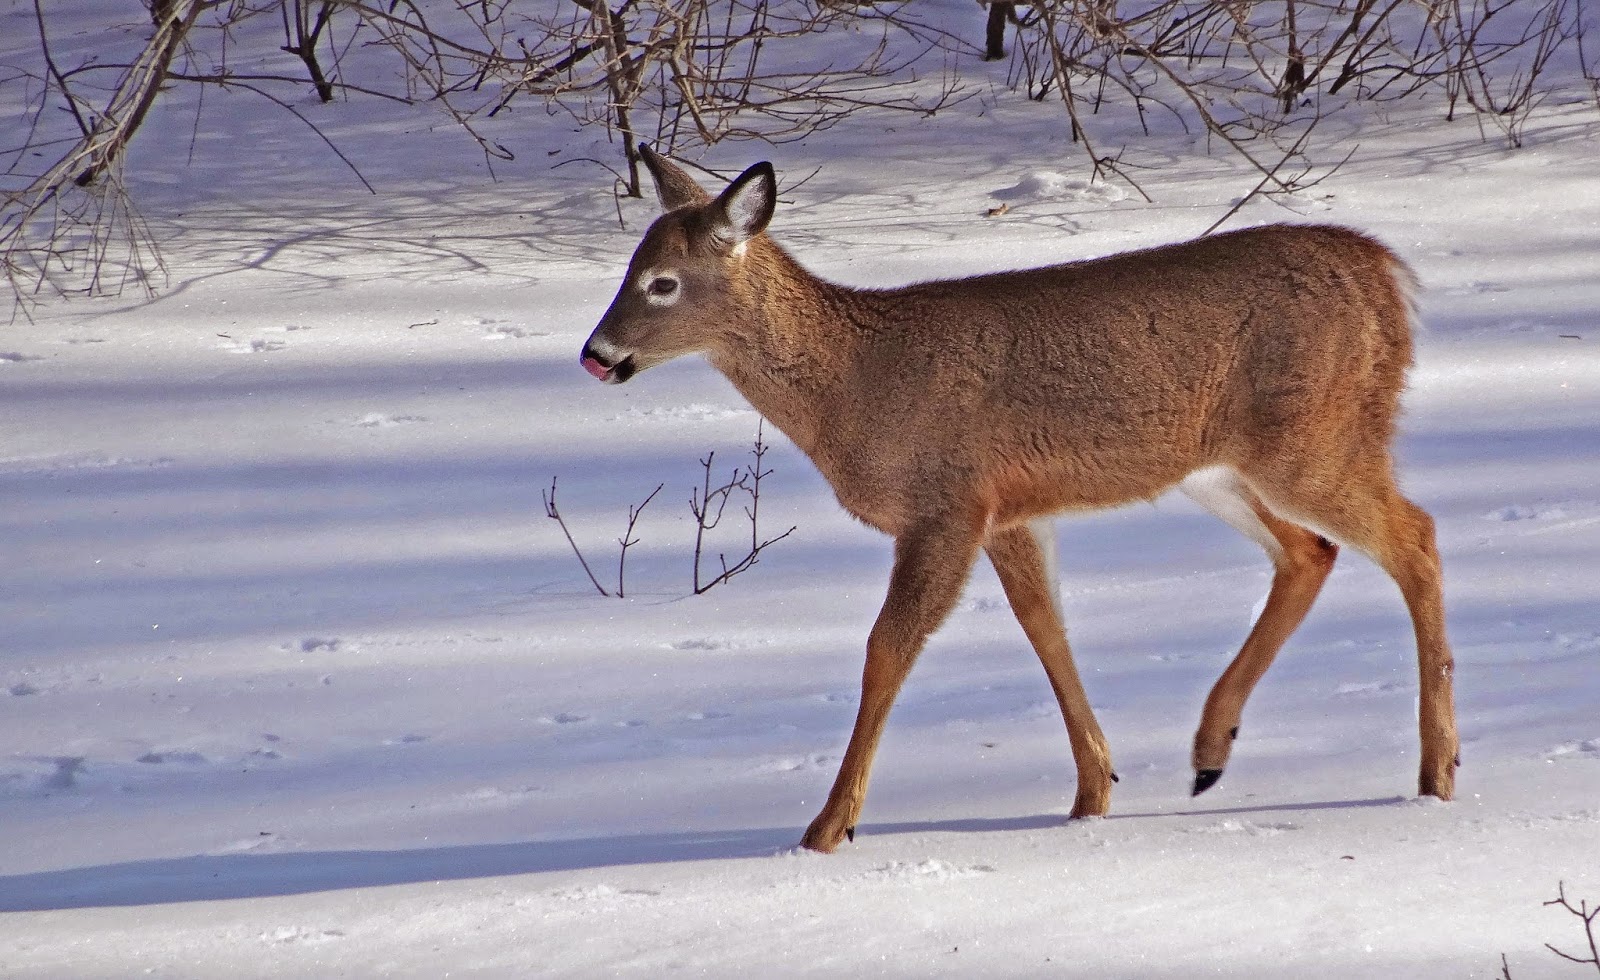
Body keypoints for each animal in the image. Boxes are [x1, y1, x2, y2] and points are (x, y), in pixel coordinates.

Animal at [579, 144, 1459, 854]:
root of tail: (1389, 278)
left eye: (662, 283)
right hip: (1222, 467)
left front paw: (828, 829)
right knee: (1311, 551)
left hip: (1310, 440)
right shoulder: (1010, 513)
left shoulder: (946, 502)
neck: (855, 384)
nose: (594, 353)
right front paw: (1092, 793)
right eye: (627, 269)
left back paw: (1437, 772)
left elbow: (886, 648)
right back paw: (1211, 751)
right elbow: (1046, 630)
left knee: (1415, 535)